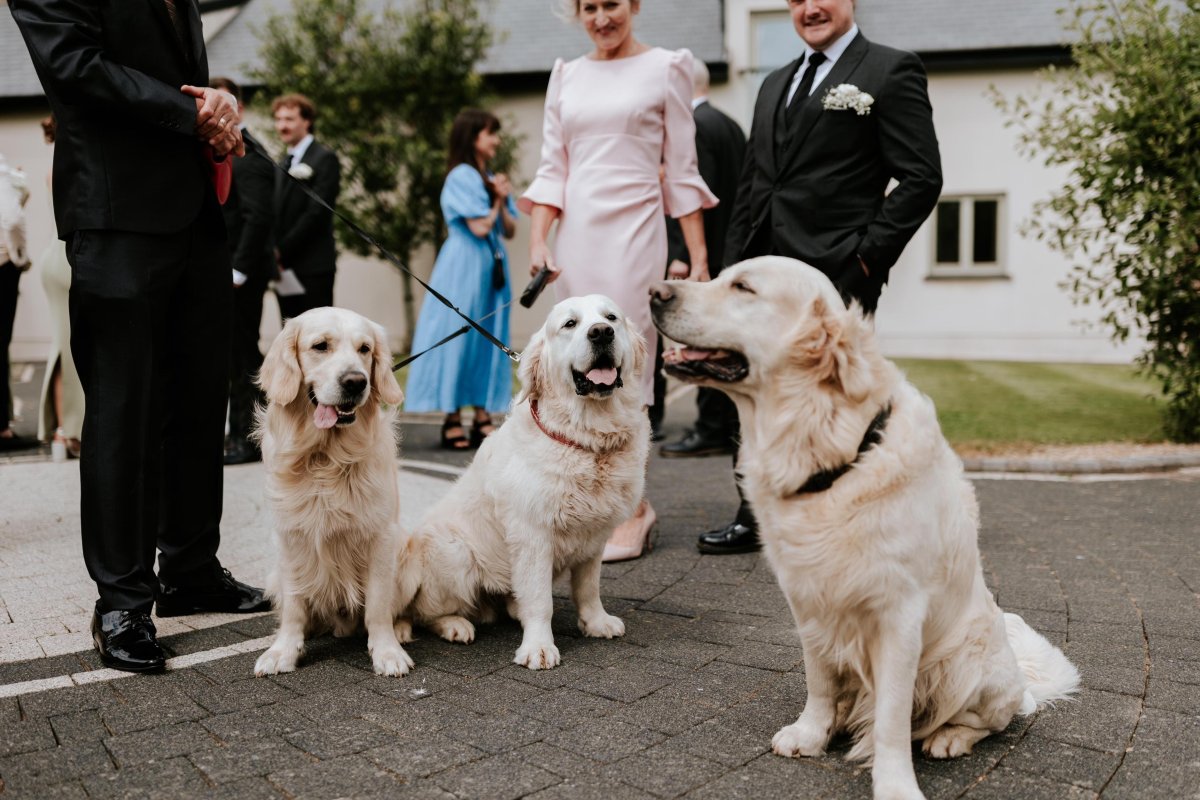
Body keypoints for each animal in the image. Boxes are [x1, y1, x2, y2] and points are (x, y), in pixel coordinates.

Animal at [252, 309, 412, 681]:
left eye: (365, 349)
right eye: (320, 346)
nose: (356, 382)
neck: (326, 457)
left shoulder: (381, 536)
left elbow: (378, 605)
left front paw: (387, 651)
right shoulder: (290, 537)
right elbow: (295, 605)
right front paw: (284, 650)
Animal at [393, 293, 648, 671]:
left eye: (611, 318)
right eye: (570, 324)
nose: (601, 333)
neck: (586, 438)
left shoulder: (595, 536)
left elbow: (588, 587)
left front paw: (596, 621)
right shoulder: (533, 535)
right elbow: (541, 600)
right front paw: (539, 647)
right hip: (457, 555)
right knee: (424, 612)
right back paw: (454, 625)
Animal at [652, 257, 1084, 800]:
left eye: (743, 287)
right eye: (718, 275)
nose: (655, 292)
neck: (828, 450)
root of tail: (1023, 681)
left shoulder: (899, 616)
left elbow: (892, 717)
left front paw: (895, 783)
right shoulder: (808, 600)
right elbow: (819, 680)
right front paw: (812, 732)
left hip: (967, 662)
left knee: (990, 719)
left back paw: (950, 738)